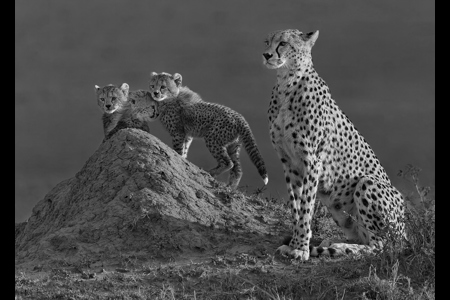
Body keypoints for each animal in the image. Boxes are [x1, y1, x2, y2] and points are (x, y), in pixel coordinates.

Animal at [128, 73, 268, 189]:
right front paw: (183, 160)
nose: (155, 93)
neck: (168, 99)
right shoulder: (187, 135)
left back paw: (211, 172)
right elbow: (184, 150)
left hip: (213, 138)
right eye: (152, 86)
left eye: (163, 87)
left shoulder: (178, 133)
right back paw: (230, 187)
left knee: (229, 163)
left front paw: (178, 158)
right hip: (233, 145)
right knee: (237, 169)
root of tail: (240, 118)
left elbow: (178, 149)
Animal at [262, 29, 406, 262]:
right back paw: (333, 243)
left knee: (381, 247)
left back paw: (340, 248)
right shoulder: (289, 162)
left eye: (282, 43)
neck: (287, 83)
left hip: (368, 183)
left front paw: (301, 248)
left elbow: (306, 206)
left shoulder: (312, 161)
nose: (266, 55)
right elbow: (296, 206)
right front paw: (295, 243)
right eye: (267, 42)